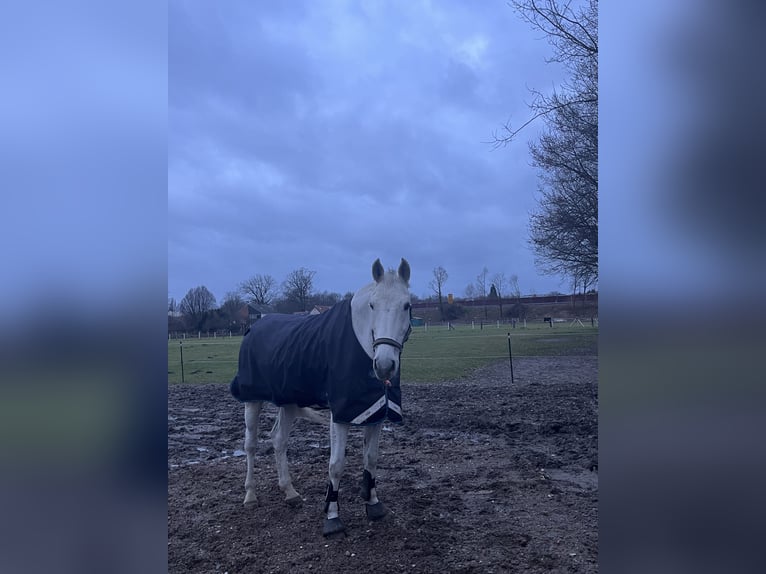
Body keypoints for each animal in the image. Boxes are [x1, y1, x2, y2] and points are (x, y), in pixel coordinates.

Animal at [230, 258, 412, 536]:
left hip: (288, 401)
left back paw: (290, 492)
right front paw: (332, 518)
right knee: (250, 444)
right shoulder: (340, 414)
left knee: (279, 439)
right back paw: (250, 496)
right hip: (252, 399)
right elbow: (336, 465)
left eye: (406, 305)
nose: (384, 366)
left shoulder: (375, 411)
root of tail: (253, 327)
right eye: (372, 305)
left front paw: (373, 504)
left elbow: (371, 459)